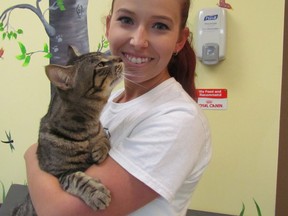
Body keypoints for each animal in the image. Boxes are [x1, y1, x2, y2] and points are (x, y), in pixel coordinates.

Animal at [12, 45, 124, 214]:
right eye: (100, 65)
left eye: (105, 55)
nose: (120, 58)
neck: (88, 125)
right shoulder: (60, 173)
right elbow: (78, 179)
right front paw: (96, 193)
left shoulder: (99, 130)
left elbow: (103, 136)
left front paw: (100, 148)